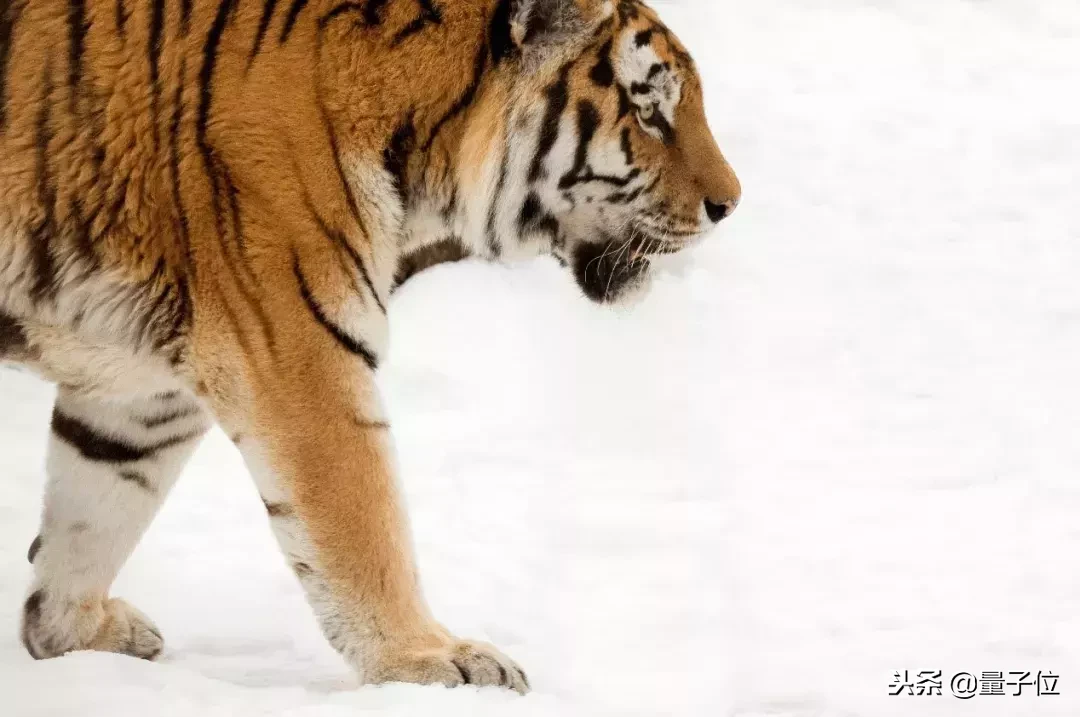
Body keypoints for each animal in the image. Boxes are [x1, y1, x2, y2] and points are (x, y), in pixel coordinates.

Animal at [0, 0, 738, 695]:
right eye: (649, 112)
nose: (729, 204)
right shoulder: (301, 353)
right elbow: (364, 523)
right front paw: (431, 658)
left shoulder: (144, 391)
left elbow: (96, 509)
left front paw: (66, 630)